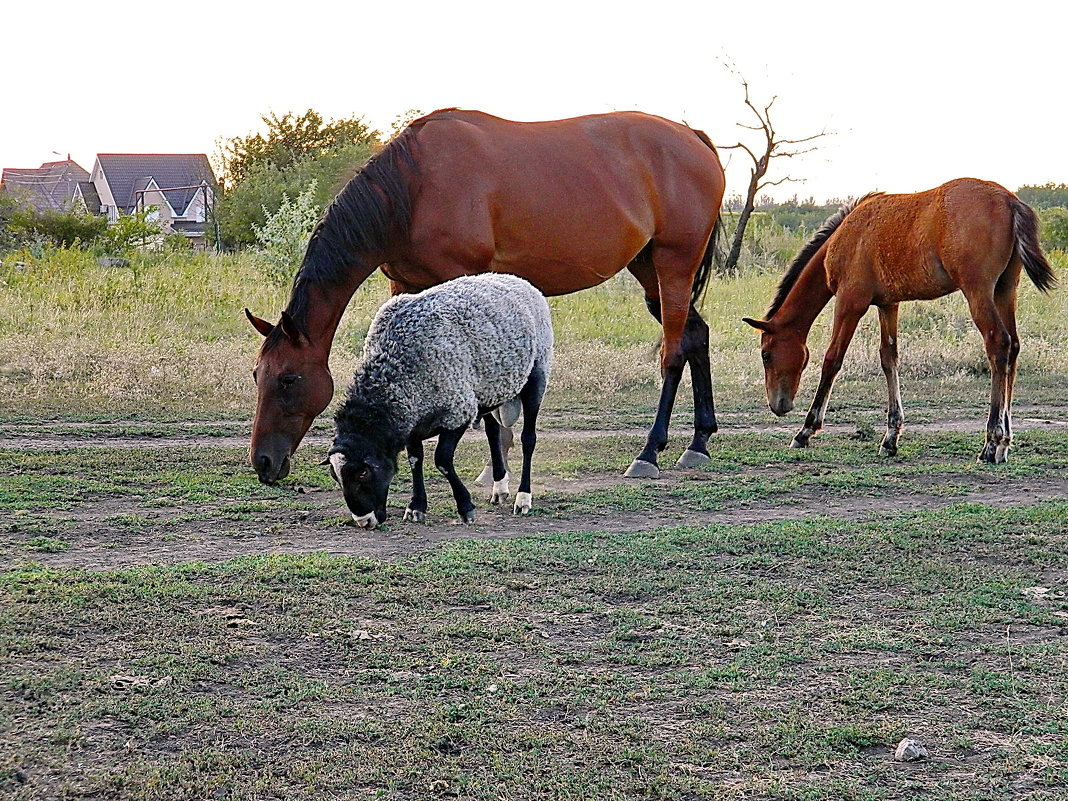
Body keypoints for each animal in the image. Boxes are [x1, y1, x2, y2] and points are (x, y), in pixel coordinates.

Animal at [244, 106, 726, 482]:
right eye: (257, 376)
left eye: (289, 379)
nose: (263, 462)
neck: (414, 187)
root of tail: (695, 139)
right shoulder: (405, 286)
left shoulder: (462, 279)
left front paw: (493, 462)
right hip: (648, 270)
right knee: (696, 335)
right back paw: (698, 443)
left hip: (674, 264)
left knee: (673, 352)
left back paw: (649, 452)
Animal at [328, 273, 555, 529]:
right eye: (335, 476)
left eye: (362, 473)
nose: (364, 521)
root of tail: (518, 280)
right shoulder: (413, 420)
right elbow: (415, 459)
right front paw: (416, 507)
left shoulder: (457, 411)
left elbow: (442, 460)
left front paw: (465, 507)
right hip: (490, 390)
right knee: (492, 433)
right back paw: (499, 488)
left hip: (538, 372)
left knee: (528, 439)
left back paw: (523, 498)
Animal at [747, 177, 1055, 463]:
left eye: (766, 355)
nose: (778, 405)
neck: (846, 235)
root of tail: (1009, 200)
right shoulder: (888, 304)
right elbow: (889, 358)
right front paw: (890, 438)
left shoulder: (850, 303)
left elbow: (832, 359)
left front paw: (805, 431)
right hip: (1005, 289)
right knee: (1013, 348)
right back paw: (1004, 444)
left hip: (978, 291)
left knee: (998, 344)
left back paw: (991, 443)